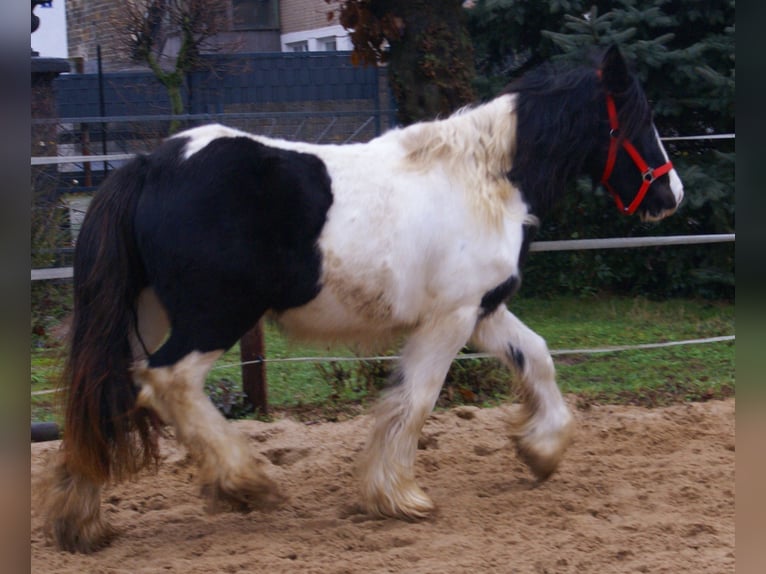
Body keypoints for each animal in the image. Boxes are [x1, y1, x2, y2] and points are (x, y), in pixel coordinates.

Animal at [43, 46, 684, 552]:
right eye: (641, 117)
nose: (671, 194)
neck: (485, 179)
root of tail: (148, 166)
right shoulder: (450, 319)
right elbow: (416, 400)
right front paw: (397, 496)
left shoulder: (482, 310)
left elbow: (538, 358)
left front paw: (542, 450)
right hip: (212, 319)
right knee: (167, 382)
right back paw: (247, 481)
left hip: (148, 315)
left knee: (107, 392)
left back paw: (81, 525)